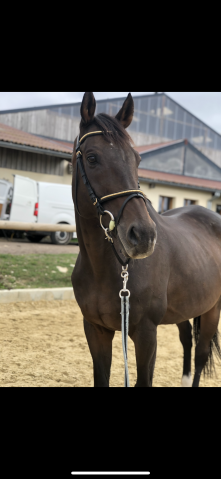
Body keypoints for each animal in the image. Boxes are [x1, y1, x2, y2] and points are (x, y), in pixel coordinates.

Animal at [71, 92, 221, 388]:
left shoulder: (145, 333)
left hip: (213, 309)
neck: (106, 267)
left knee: (200, 354)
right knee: (186, 340)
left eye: (137, 159)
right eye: (92, 158)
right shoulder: (95, 330)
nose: (144, 236)